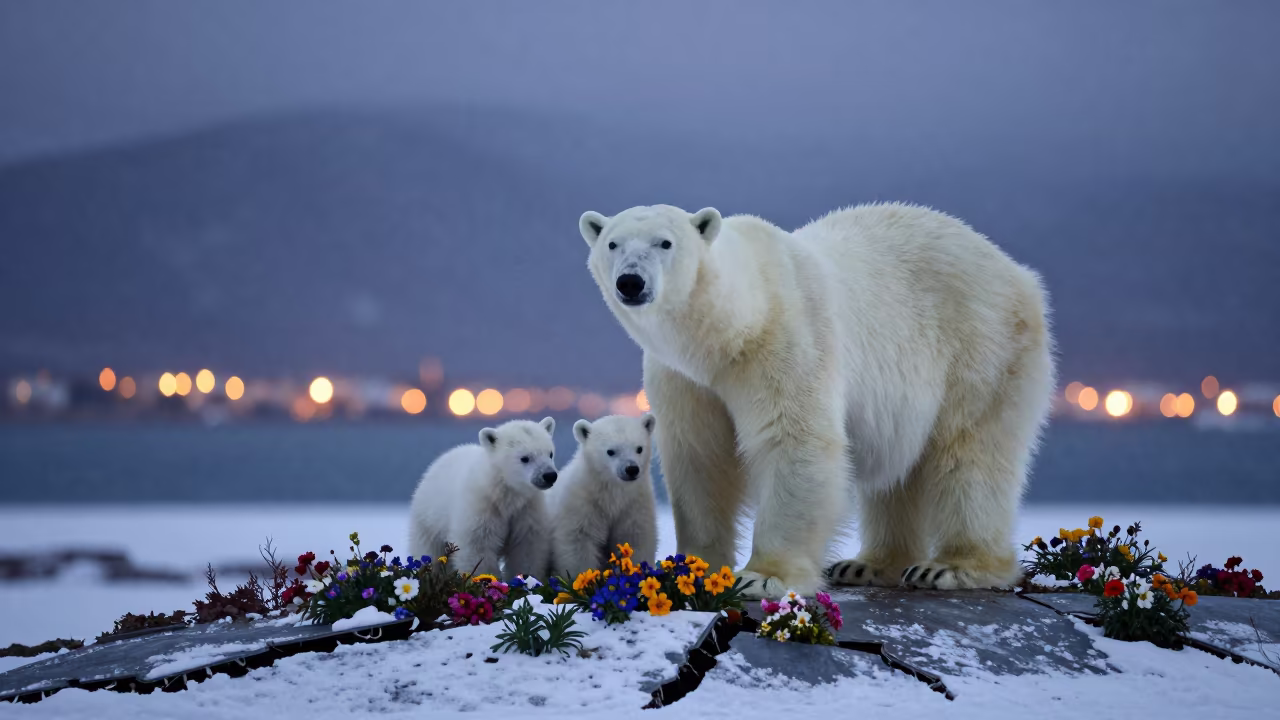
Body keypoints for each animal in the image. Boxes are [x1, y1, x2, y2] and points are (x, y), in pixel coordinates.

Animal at [408, 417, 559, 580]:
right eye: (525, 458)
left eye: (550, 453)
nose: (549, 475)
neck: (504, 494)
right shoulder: (482, 509)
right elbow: (478, 550)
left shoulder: (526, 510)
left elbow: (527, 550)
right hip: (429, 521)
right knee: (429, 552)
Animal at [549, 413, 659, 579]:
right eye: (610, 451)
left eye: (639, 448)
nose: (631, 469)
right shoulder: (582, 504)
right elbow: (578, 544)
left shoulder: (634, 504)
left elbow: (635, 538)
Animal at [577, 203, 1054, 598]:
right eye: (613, 243)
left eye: (665, 242)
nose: (631, 281)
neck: (730, 333)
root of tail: (1018, 273)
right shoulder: (685, 379)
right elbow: (701, 459)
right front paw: (690, 569)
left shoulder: (787, 341)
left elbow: (795, 440)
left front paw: (763, 576)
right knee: (900, 475)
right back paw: (868, 565)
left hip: (982, 348)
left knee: (969, 453)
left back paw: (950, 567)